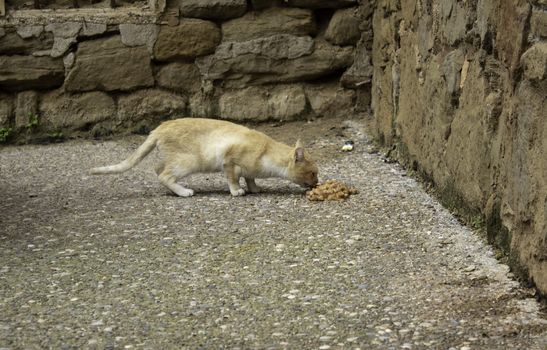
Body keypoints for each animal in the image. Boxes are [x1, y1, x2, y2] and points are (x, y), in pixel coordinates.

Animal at [89, 117, 318, 194]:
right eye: (313, 173)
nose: (317, 183)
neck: (266, 152)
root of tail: (160, 127)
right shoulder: (229, 161)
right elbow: (233, 180)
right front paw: (237, 191)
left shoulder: (248, 169)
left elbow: (250, 177)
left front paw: (254, 189)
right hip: (188, 162)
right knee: (164, 175)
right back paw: (184, 192)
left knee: (157, 169)